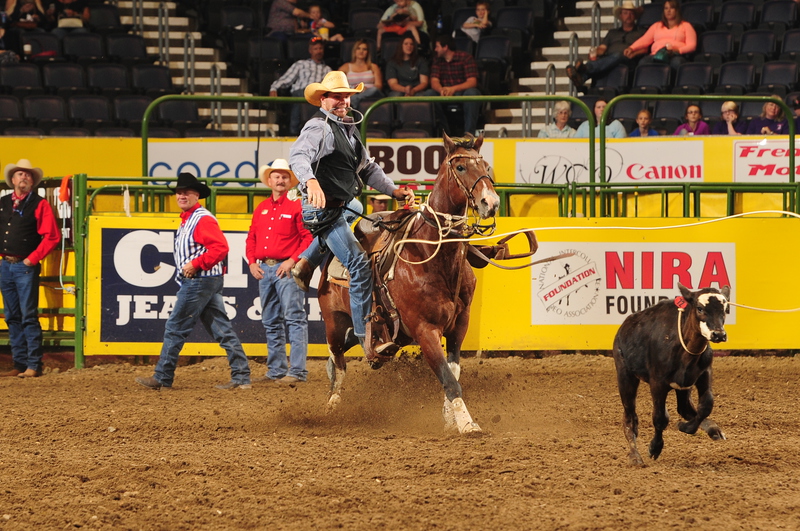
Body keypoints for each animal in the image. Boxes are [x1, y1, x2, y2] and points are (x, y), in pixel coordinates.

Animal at [316, 134, 496, 436]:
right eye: (460, 168)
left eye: (486, 166)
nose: (490, 202)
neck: (431, 253)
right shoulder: (425, 330)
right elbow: (448, 378)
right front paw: (467, 423)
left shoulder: (460, 324)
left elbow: (453, 371)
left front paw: (450, 418)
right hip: (335, 321)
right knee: (338, 359)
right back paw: (331, 405)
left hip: (389, 332)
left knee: (350, 348)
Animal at [612, 282, 732, 466]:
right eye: (700, 308)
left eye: (725, 309)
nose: (718, 334)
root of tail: (625, 326)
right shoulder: (657, 384)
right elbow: (660, 418)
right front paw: (655, 447)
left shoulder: (704, 374)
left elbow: (706, 405)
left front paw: (685, 427)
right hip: (625, 376)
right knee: (630, 417)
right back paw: (635, 456)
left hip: (683, 387)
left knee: (685, 409)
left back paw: (712, 429)